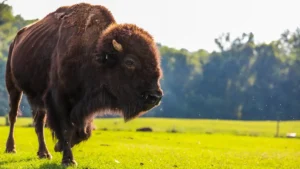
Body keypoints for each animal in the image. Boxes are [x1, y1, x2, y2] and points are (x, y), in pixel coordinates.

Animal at [4, 2, 162, 166]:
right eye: (130, 62)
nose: (155, 97)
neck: (93, 54)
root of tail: (16, 40)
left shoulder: (83, 105)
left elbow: (83, 131)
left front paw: (59, 146)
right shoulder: (59, 99)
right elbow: (66, 128)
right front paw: (68, 159)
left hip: (36, 97)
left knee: (38, 122)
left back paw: (44, 153)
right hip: (13, 87)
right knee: (13, 116)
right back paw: (11, 148)